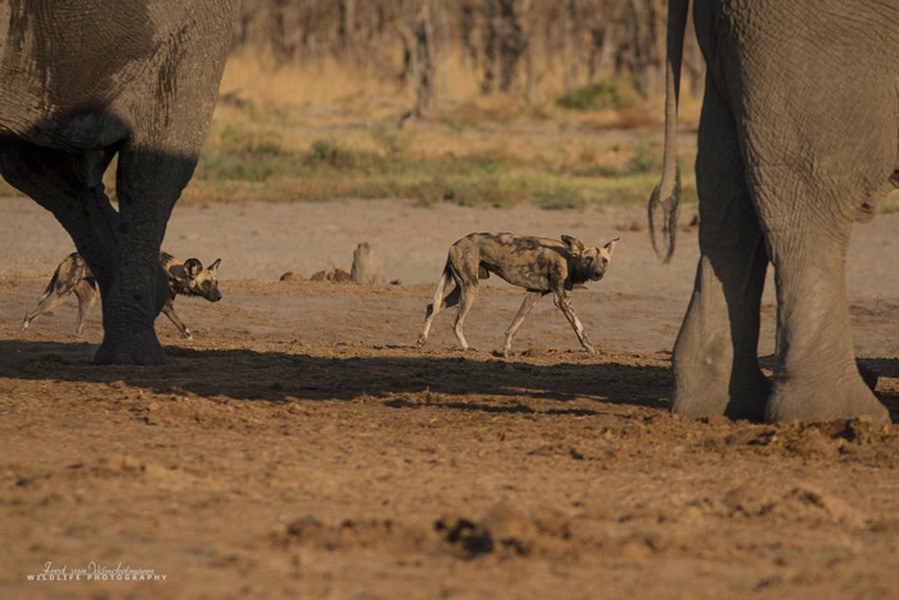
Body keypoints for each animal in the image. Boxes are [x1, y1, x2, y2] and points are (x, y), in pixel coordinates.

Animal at [22, 251, 223, 340]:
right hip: (61, 293)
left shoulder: (166, 305)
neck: (172, 271)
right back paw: (23, 329)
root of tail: (67, 257)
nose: (219, 297)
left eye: (216, 282)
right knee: (31, 313)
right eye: (206, 283)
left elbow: (181, 325)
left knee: (76, 326)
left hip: (88, 299)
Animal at [416, 232, 620, 356]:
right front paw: (592, 350)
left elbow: (513, 326)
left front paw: (506, 351)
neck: (570, 259)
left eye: (604, 260)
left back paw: (421, 340)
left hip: (462, 289)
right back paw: (468, 349)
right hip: (471, 288)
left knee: (432, 307)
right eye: (588, 259)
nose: (598, 273)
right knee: (455, 321)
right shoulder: (562, 300)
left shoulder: (534, 294)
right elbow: (580, 329)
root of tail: (455, 244)